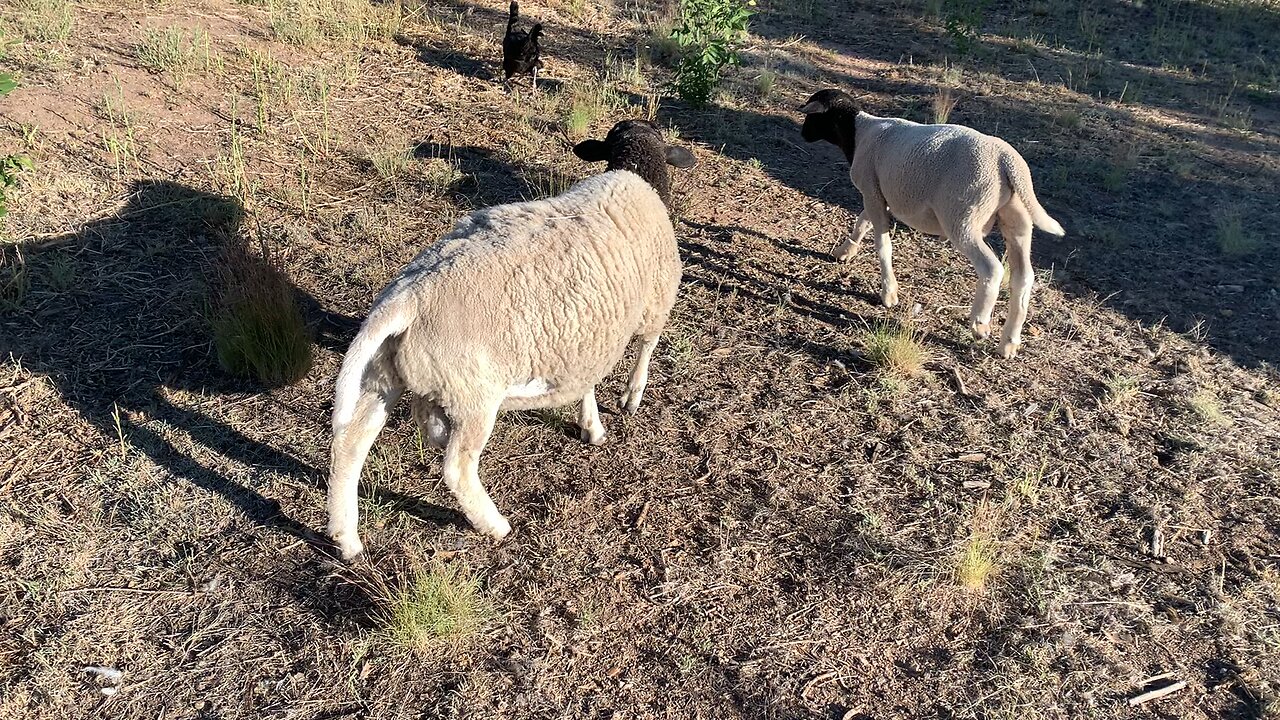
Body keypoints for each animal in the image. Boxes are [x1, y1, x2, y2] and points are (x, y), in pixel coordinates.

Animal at [325, 117, 696, 558]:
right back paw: (494, 524)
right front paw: (631, 398)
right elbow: (646, 348)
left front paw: (591, 425)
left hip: (384, 374)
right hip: (474, 394)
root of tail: (407, 298)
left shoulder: (585, 336)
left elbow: (586, 381)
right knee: (457, 467)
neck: (637, 174)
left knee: (350, 444)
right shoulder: (654, 303)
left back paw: (346, 537)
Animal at [793, 88, 1064, 356]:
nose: (803, 134)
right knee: (1023, 277)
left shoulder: (871, 189)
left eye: (811, 116)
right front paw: (845, 251)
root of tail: (1006, 160)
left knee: (992, 268)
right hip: (1017, 221)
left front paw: (888, 293)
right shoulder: (879, 195)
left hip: (962, 217)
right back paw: (1008, 342)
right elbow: (863, 221)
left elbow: (882, 244)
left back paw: (980, 323)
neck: (857, 131)